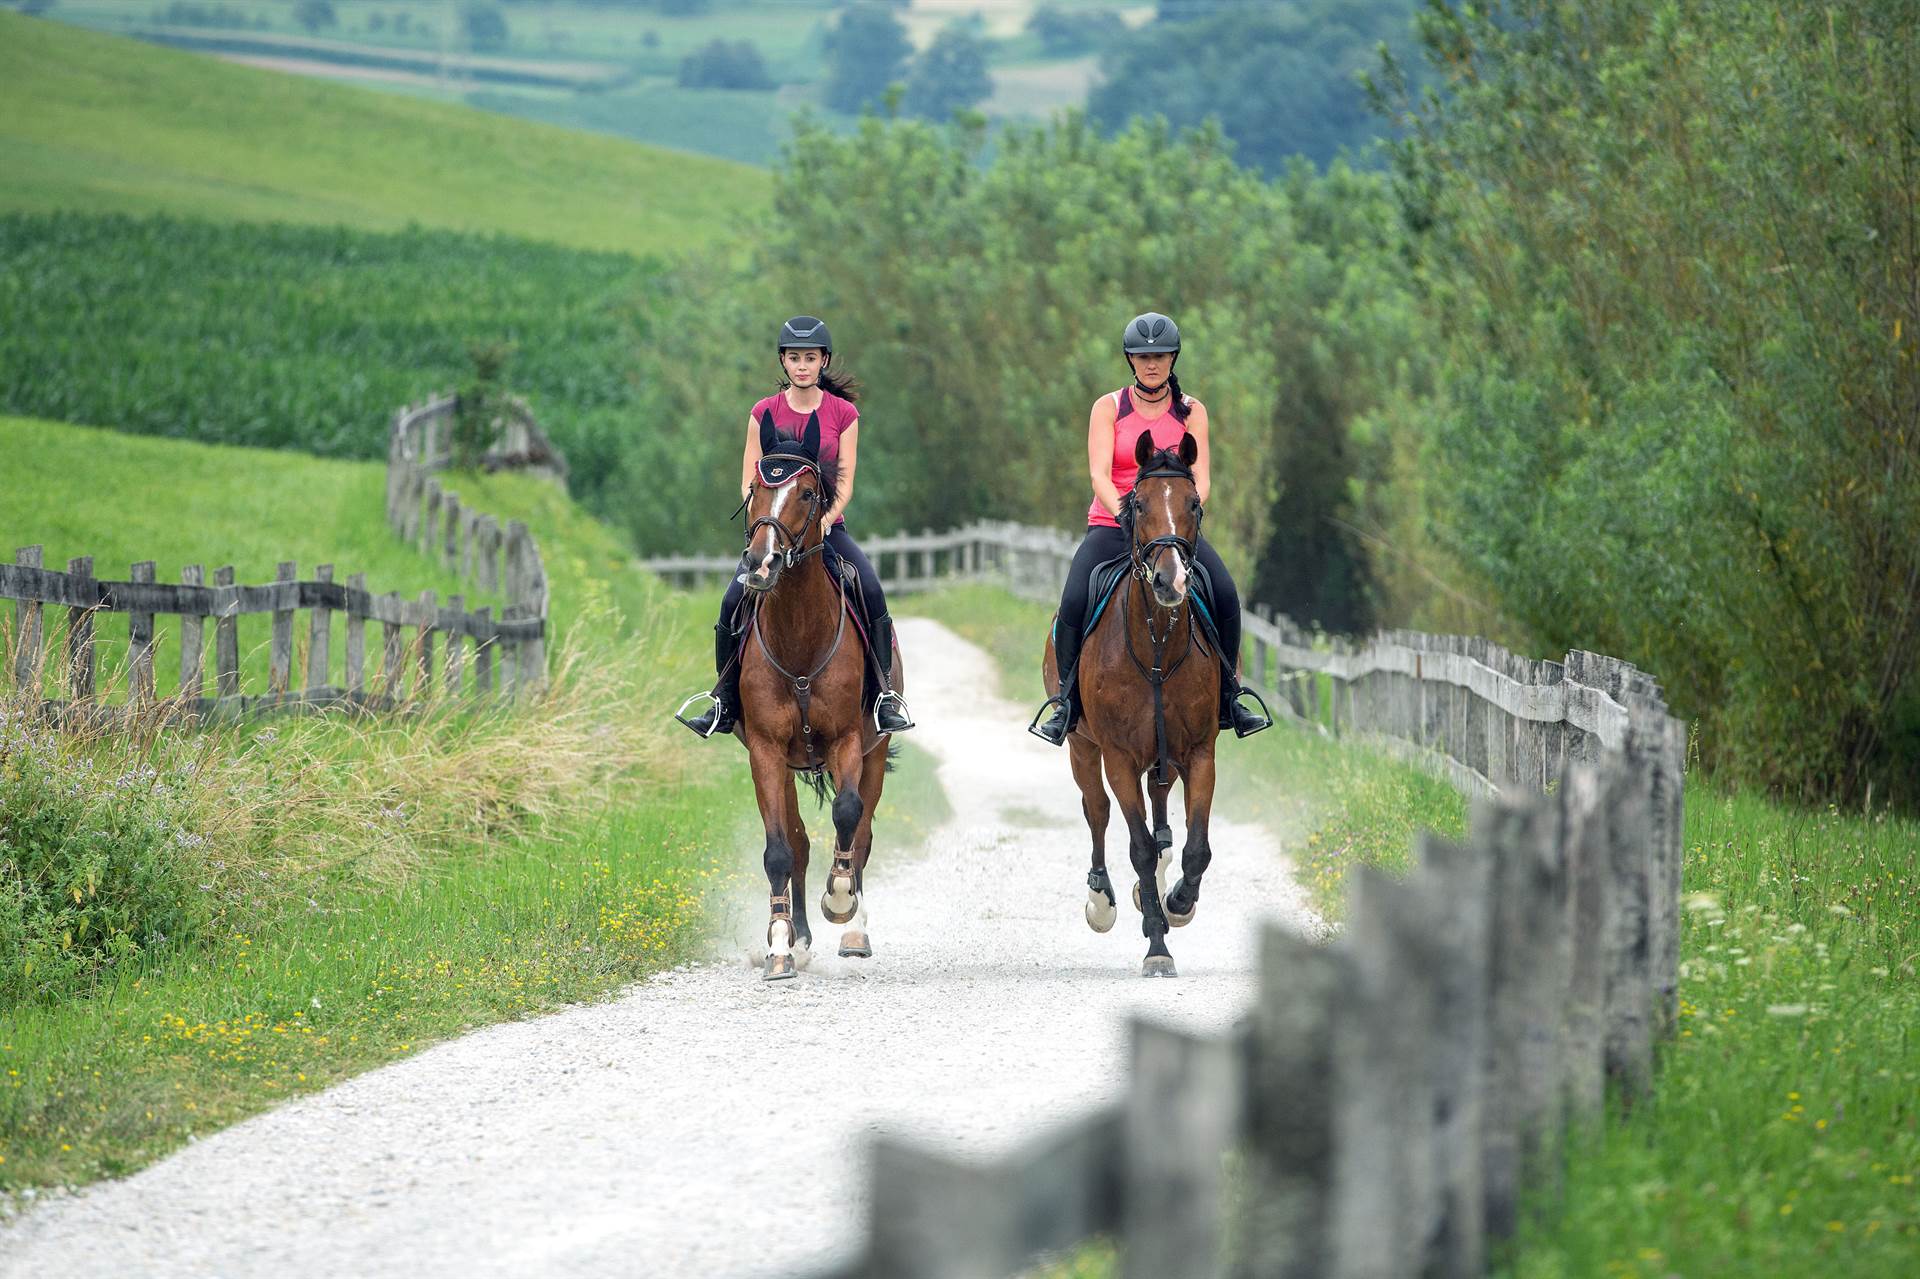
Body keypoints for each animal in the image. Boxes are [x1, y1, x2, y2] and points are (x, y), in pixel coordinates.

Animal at [733, 409, 898, 975]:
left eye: (808, 493)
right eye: (756, 488)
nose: (760, 565)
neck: (800, 640)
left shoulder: (848, 739)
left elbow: (848, 816)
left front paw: (840, 899)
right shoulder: (765, 751)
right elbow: (780, 850)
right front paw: (781, 945)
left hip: (874, 751)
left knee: (862, 834)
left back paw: (855, 931)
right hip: (786, 764)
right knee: (801, 843)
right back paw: (798, 938)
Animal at [1044, 428, 1221, 975]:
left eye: (1193, 503)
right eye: (1139, 504)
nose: (1171, 581)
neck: (1156, 643)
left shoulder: (1200, 752)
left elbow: (1196, 847)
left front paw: (1178, 902)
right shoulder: (1119, 757)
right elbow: (1137, 847)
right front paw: (1157, 946)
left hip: (1164, 758)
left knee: (1161, 809)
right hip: (1083, 749)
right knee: (1097, 812)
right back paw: (1103, 900)